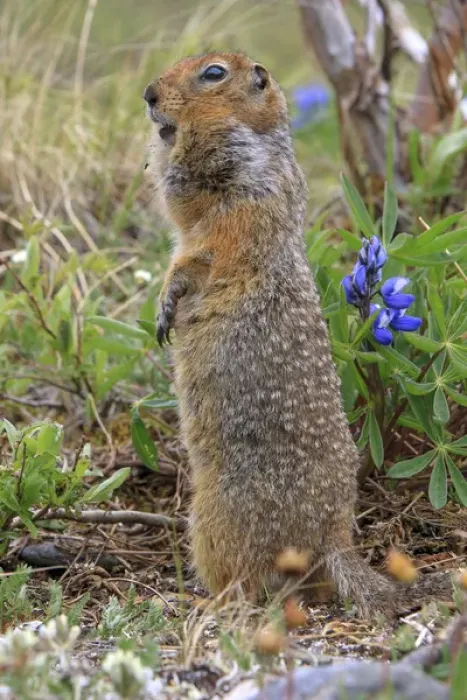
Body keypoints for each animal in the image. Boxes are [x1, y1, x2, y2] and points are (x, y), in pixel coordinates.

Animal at [144, 52, 454, 617]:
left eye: (214, 73)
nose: (149, 94)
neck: (261, 140)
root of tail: (334, 540)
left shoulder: (232, 192)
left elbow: (196, 247)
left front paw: (166, 303)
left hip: (213, 517)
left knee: (250, 584)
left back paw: (206, 601)